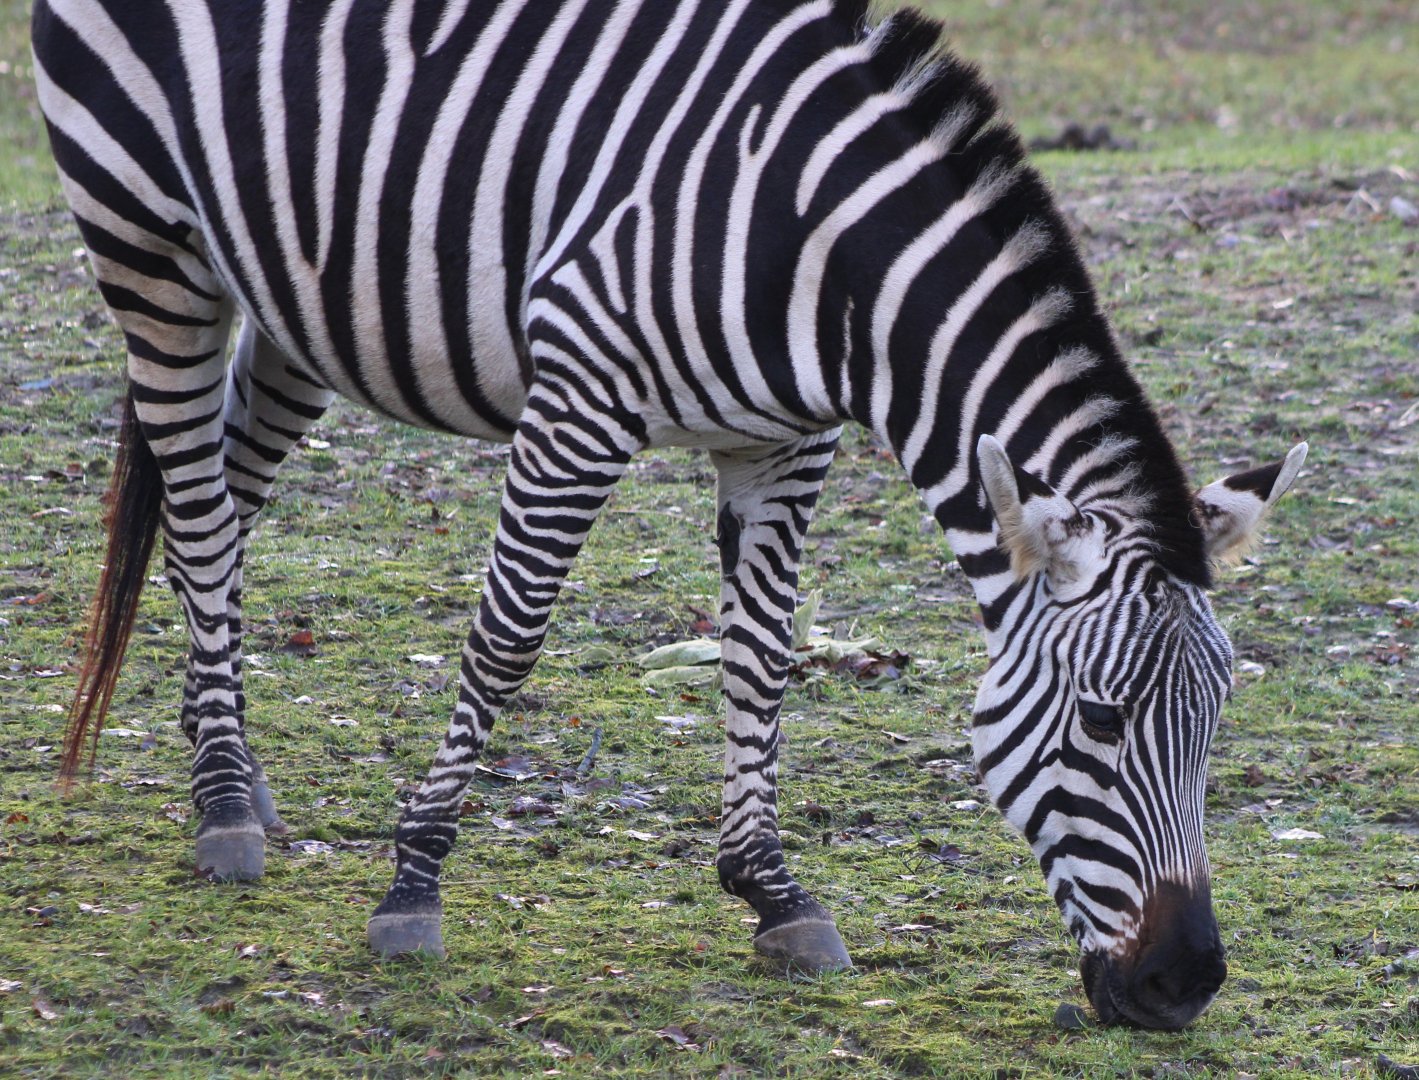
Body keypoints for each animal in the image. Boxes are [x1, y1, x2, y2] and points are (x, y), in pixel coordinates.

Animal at [33, 0, 1307, 1030]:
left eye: (1218, 720)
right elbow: (507, 640)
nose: (1185, 984)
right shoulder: (581, 401)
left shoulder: (786, 444)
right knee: (200, 511)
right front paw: (413, 880)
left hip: (302, 293)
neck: (821, 255)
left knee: (225, 498)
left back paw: (231, 768)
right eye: (1100, 722)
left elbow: (763, 656)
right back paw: (221, 803)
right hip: (150, 242)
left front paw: (773, 891)